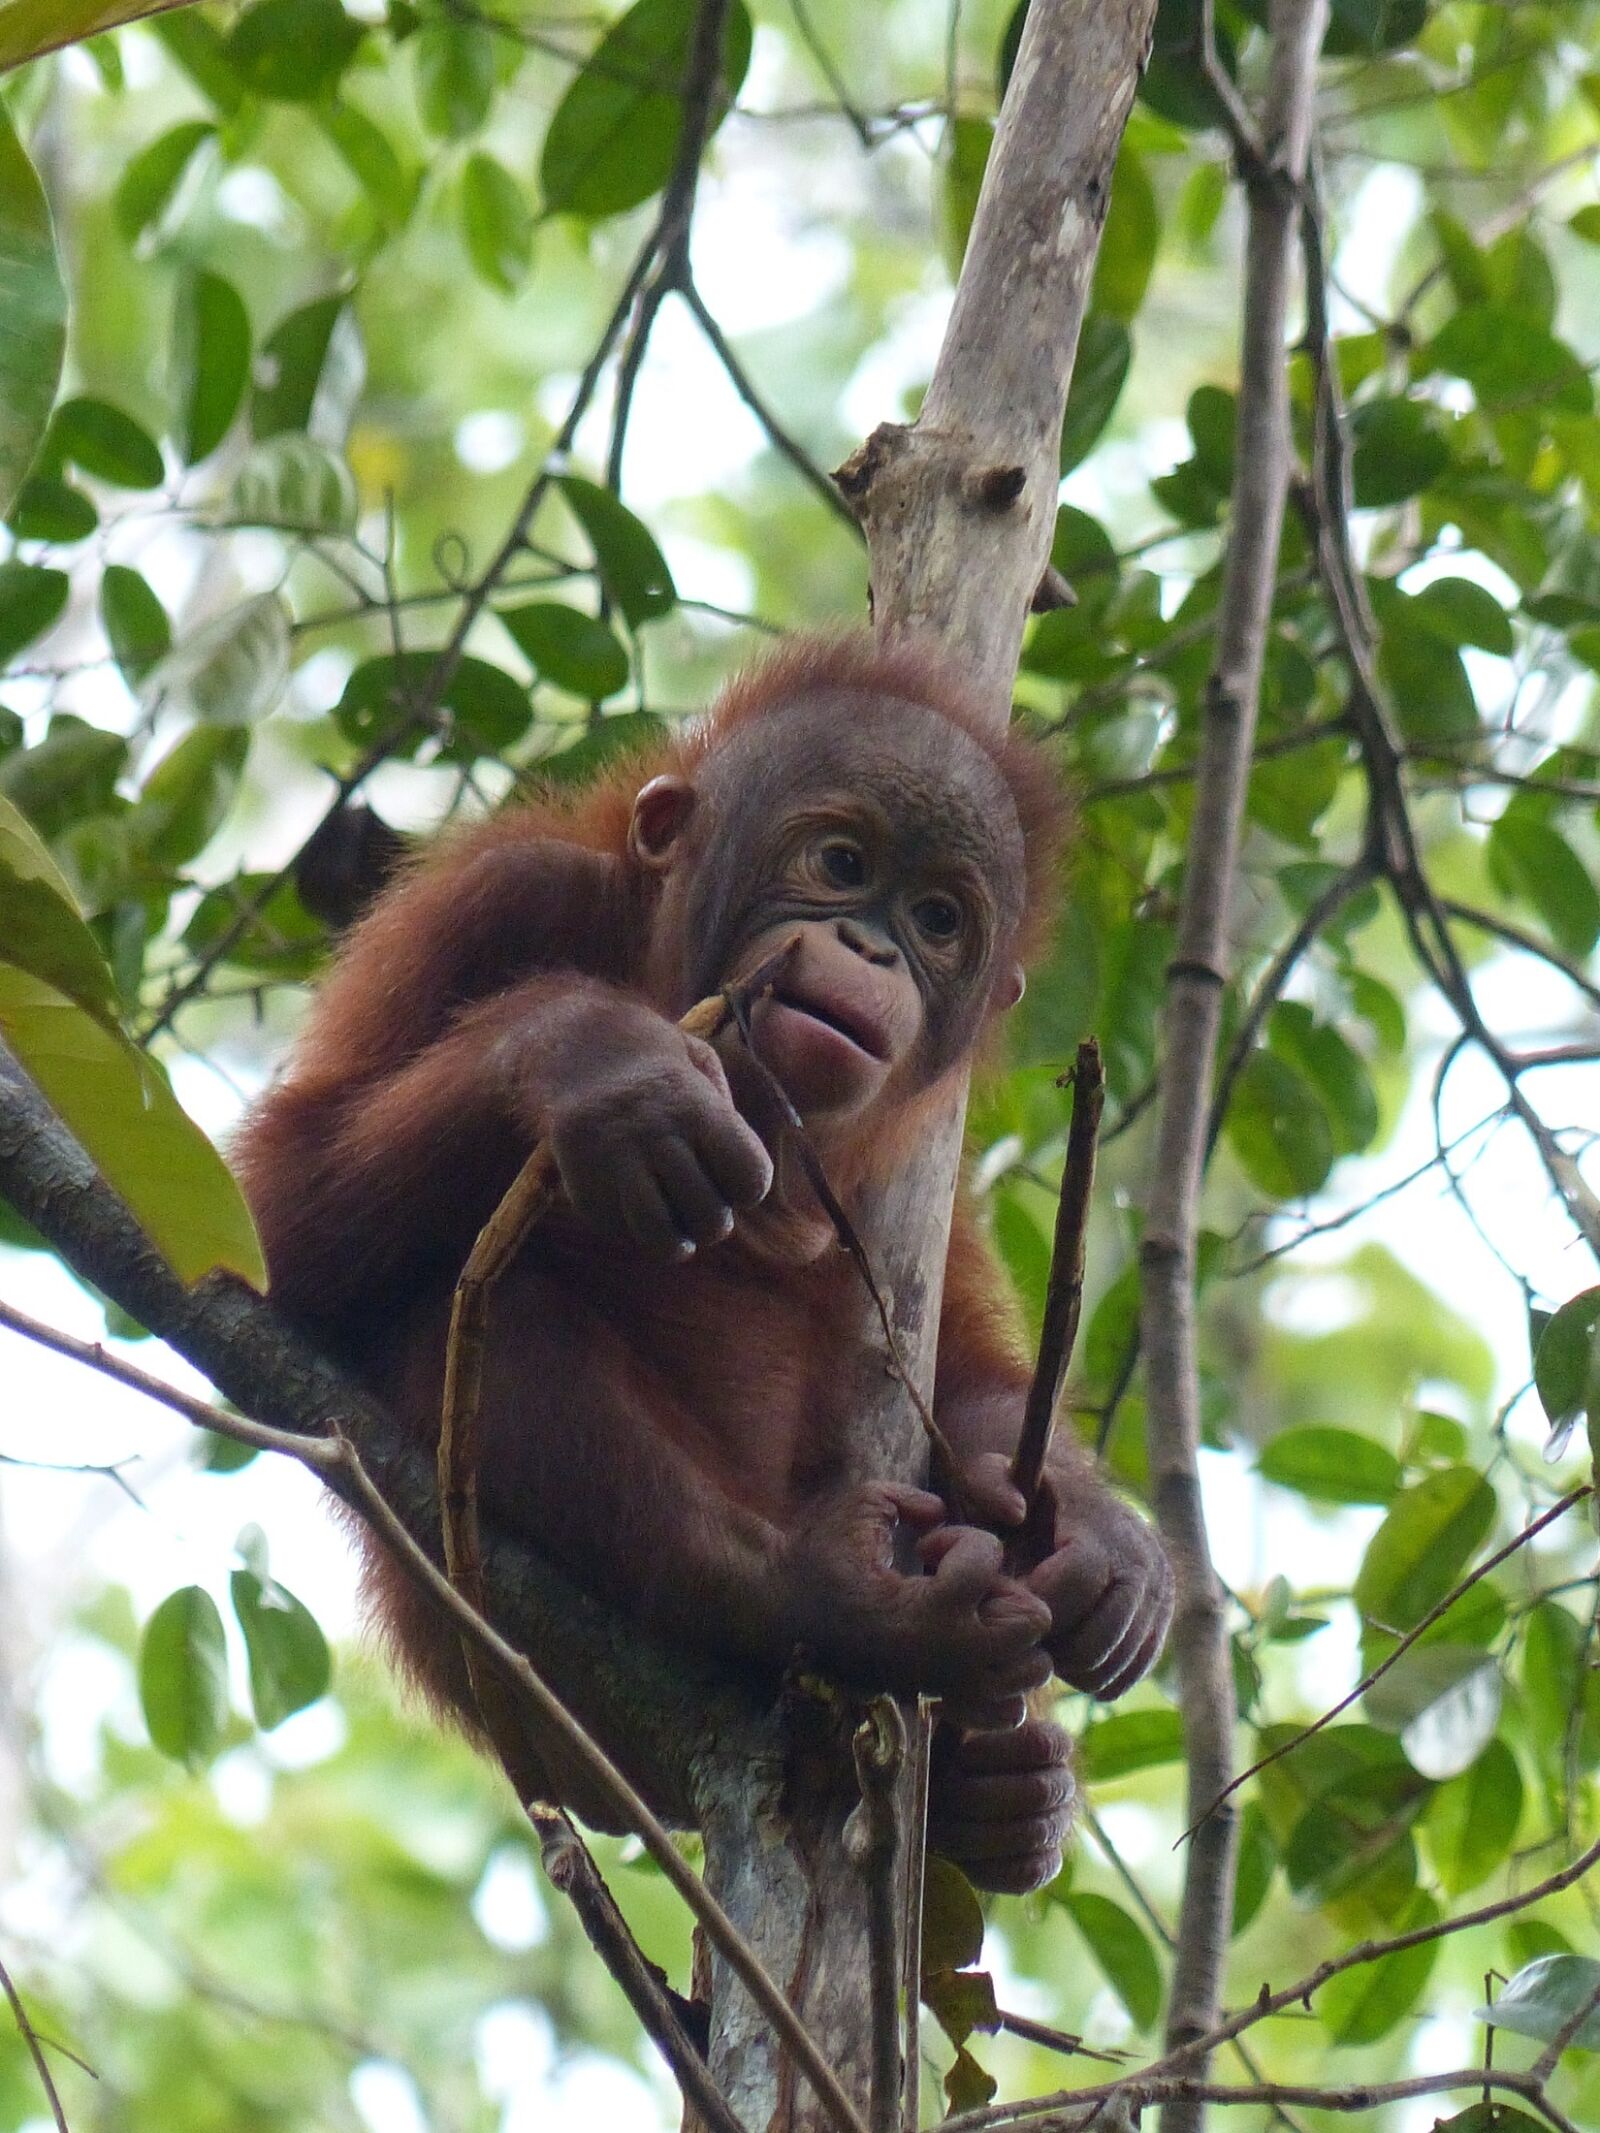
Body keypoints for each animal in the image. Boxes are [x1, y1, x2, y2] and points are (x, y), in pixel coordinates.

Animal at [237, 636, 1173, 1893]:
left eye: (938, 918)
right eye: (839, 862)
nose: (872, 946)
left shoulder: (923, 1144)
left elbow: (959, 1375)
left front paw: (1101, 1540)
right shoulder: (498, 899)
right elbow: (271, 1230)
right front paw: (602, 1063)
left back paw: (1001, 1792)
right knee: (482, 1316)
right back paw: (828, 1603)